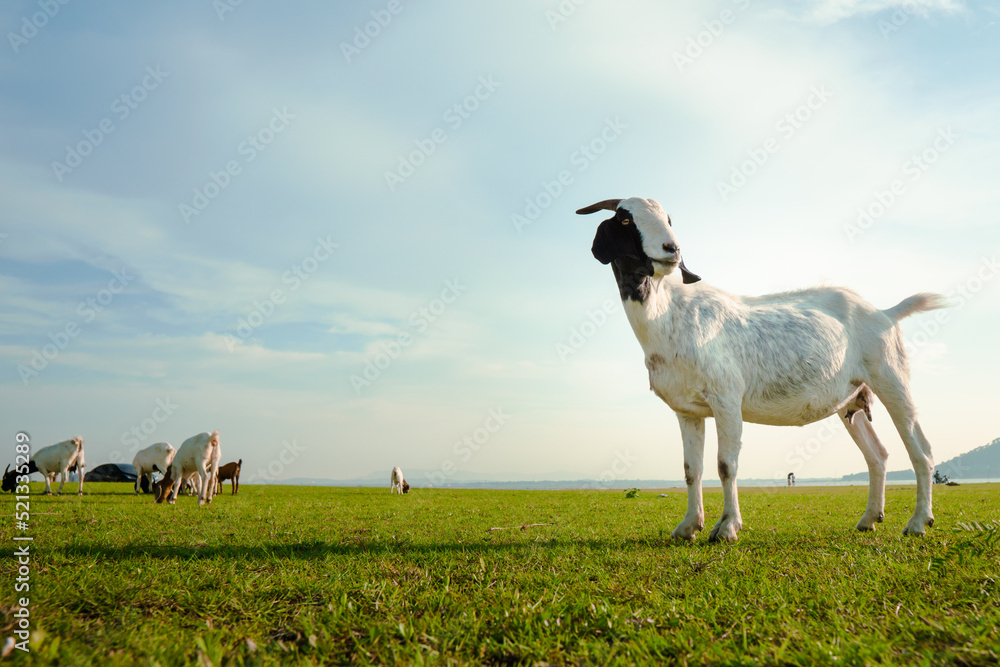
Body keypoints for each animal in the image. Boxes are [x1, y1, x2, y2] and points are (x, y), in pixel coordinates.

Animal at [578, 197, 943, 541]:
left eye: (668, 219)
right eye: (626, 219)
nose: (672, 249)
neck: (668, 315)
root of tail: (886, 312)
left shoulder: (726, 399)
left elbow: (726, 465)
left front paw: (727, 527)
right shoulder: (687, 410)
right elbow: (691, 469)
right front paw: (688, 526)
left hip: (891, 378)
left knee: (921, 450)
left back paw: (918, 523)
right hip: (851, 400)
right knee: (877, 455)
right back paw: (869, 519)